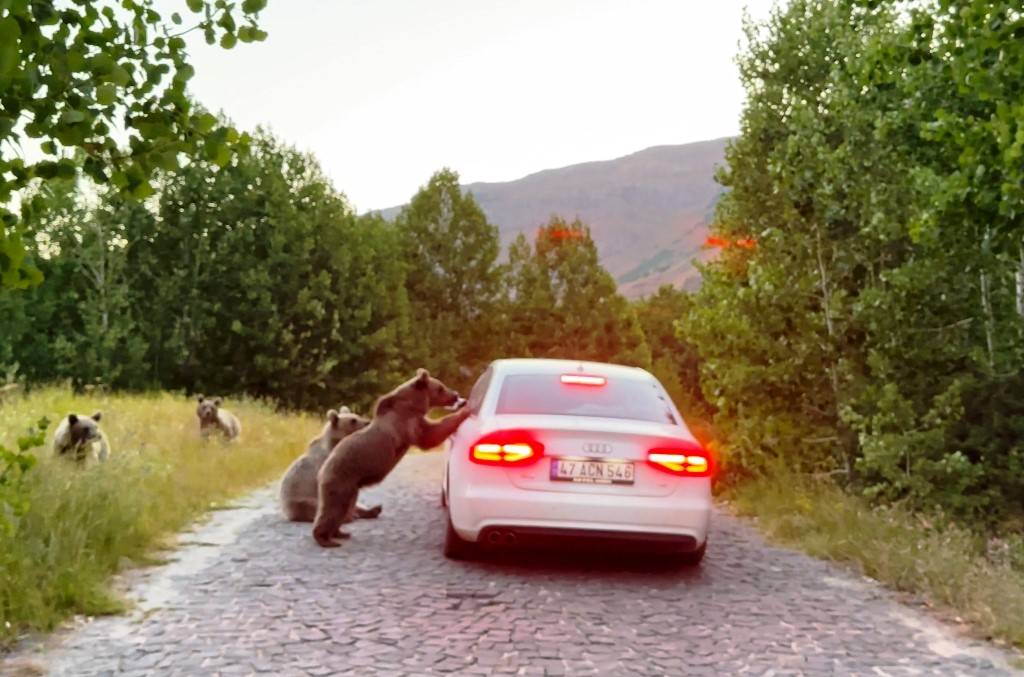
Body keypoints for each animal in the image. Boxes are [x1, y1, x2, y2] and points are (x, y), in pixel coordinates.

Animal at [313, 366, 468, 544]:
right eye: (440, 388)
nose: (455, 394)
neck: (413, 404)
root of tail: (322, 469)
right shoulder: (407, 423)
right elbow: (430, 434)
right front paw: (464, 412)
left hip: (351, 486)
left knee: (343, 507)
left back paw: (340, 533)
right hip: (341, 478)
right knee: (334, 507)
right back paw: (325, 538)